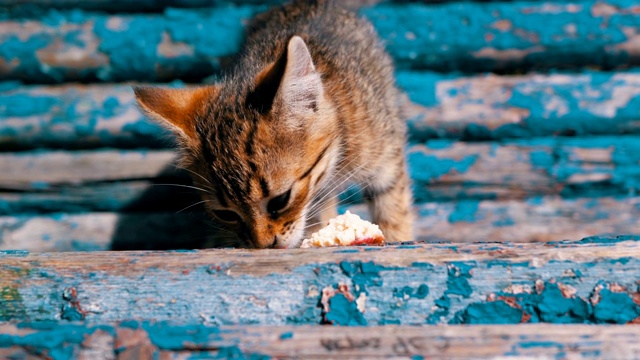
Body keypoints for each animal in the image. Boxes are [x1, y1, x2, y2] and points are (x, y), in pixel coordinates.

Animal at [136, 0, 416, 249]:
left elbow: (393, 209)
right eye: (226, 214)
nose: (263, 245)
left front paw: (397, 237)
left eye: (280, 201)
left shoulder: (387, 159)